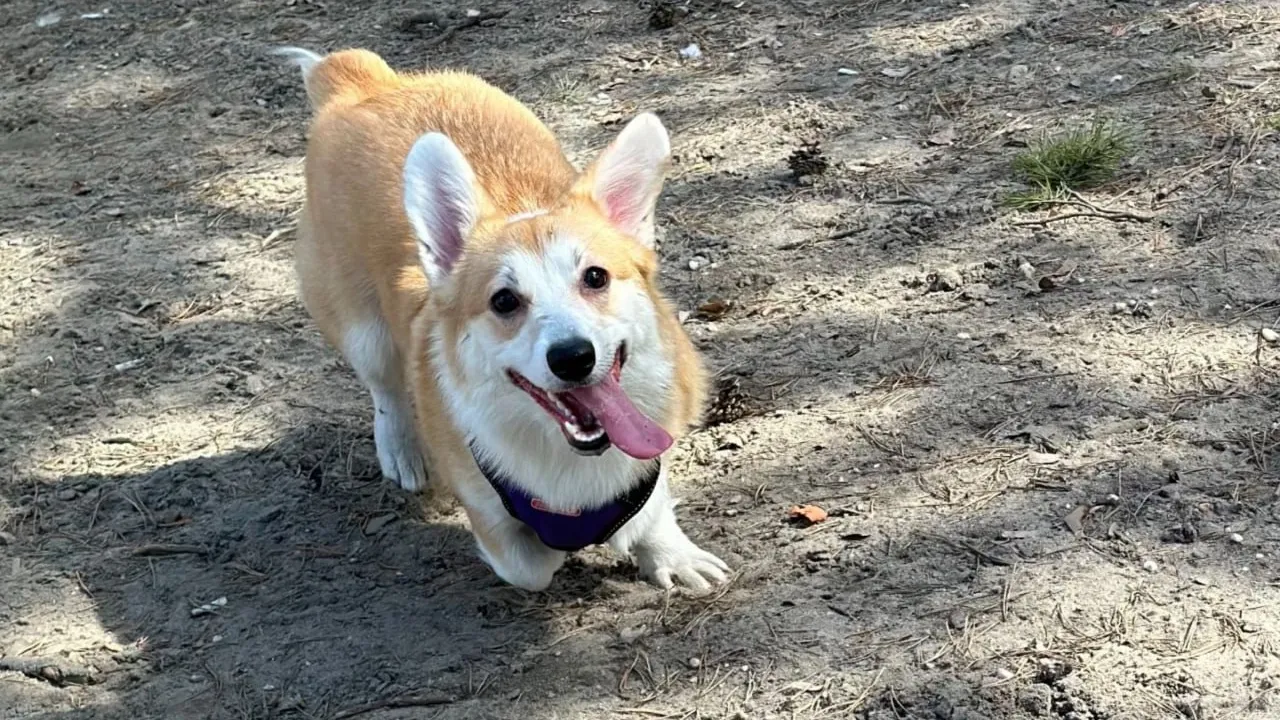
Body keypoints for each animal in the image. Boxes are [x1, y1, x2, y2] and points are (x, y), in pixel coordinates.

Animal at [275, 47, 732, 591]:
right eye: (504, 301)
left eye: (595, 277)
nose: (573, 358)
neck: (570, 456)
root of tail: (363, 83)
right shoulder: (493, 517)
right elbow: (530, 563)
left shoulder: (649, 454)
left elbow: (652, 504)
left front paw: (670, 554)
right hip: (362, 330)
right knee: (385, 389)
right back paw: (402, 452)